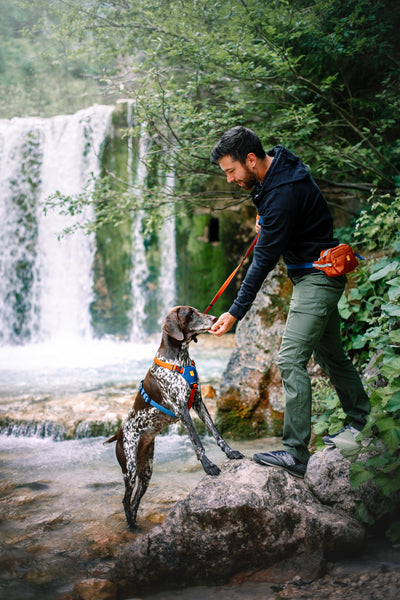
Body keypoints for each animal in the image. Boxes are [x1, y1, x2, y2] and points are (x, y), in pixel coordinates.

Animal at [107, 308, 244, 528]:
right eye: (190, 313)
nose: (215, 319)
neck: (179, 360)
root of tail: (119, 432)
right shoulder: (182, 410)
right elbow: (197, 442)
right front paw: (208, 466)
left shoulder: (198, 403)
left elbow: (216, 433)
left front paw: (230, 452)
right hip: (129, 468)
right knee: (126, 499)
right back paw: (130, 524)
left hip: (146, 472)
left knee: (135, 500)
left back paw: (135, 525)